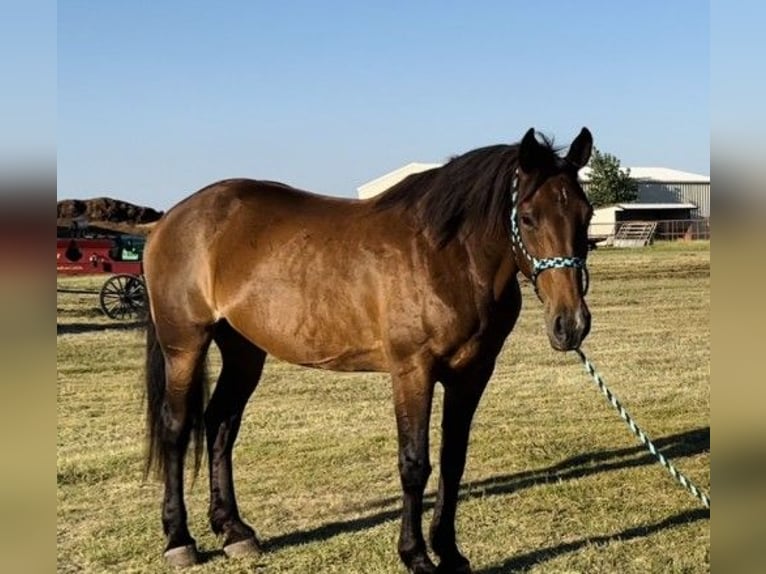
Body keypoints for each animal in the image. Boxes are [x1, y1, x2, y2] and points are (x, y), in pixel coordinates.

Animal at [146, 128, 600, 572]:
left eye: (587, 214)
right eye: (527, 217)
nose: (571, 324)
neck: (447, 256)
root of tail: (170, 219)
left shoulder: (472, 374)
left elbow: (453, 460)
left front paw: (450, 552)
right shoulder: (413, 371)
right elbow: (414, 463)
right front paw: (416, 556)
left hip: (244, 350)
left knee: (221, 423)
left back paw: (234, 531)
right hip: (184, 344)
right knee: (177, 427)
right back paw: (179, 540)